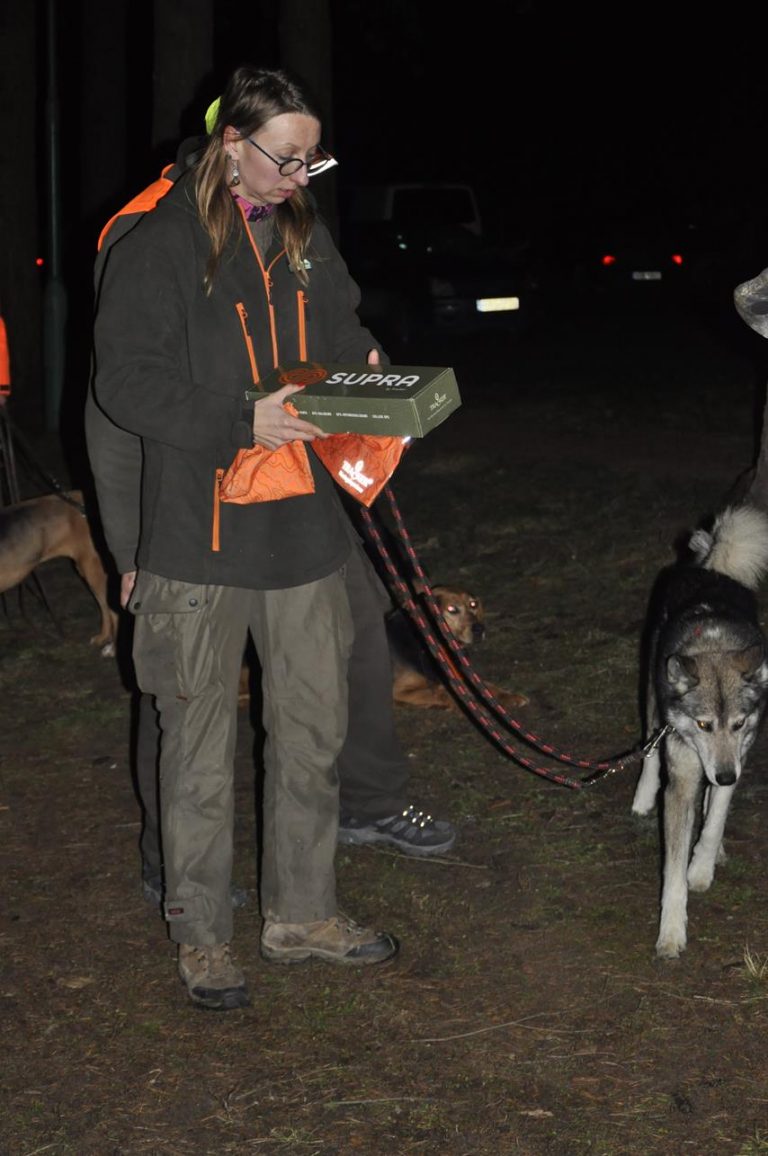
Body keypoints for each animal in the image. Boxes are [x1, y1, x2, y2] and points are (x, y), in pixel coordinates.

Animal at [390, 587, 527, 712]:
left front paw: (508, 696)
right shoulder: (399, 691)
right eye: (452, 609)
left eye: (473, 604)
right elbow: (444, 693)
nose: (480, 629)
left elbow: (486, 685)